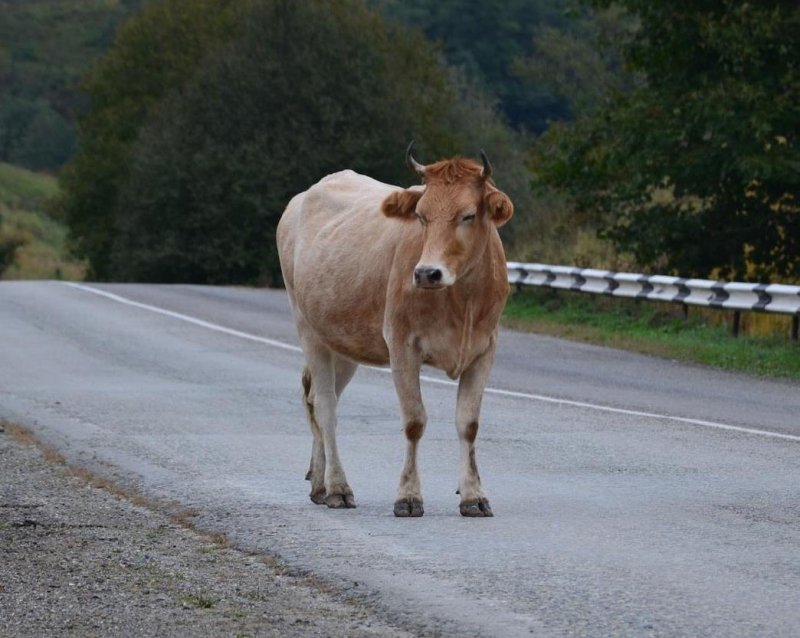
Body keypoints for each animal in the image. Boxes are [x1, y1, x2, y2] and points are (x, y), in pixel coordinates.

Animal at [276, 145, 512, 520]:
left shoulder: (484, 350)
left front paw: (473, 495)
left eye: (468, 215)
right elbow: (415, 421)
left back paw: (320, 484)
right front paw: (408, 496)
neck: (462, 300)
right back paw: (338, 488)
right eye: (421, 215)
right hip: (307, 328)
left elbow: (468, 424)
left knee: (318, 400)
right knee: (326, 406)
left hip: (343, 341)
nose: (427, 273)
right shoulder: (402, 345)